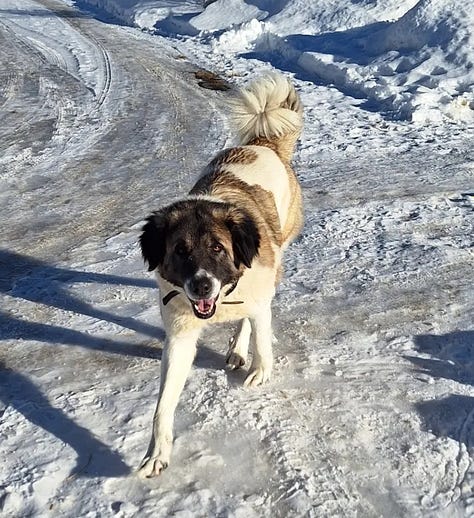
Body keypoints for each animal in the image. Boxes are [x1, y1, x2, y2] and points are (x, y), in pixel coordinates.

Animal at [137, 73, 304, 480]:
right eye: (180, 251)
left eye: (217, 248)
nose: (201, 286)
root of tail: (262, 145)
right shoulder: (179, 336)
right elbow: (162, 405)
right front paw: (157, 452)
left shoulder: (257, 295)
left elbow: (261, 335)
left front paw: (261, 368)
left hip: (278, 255)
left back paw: (241, 349)